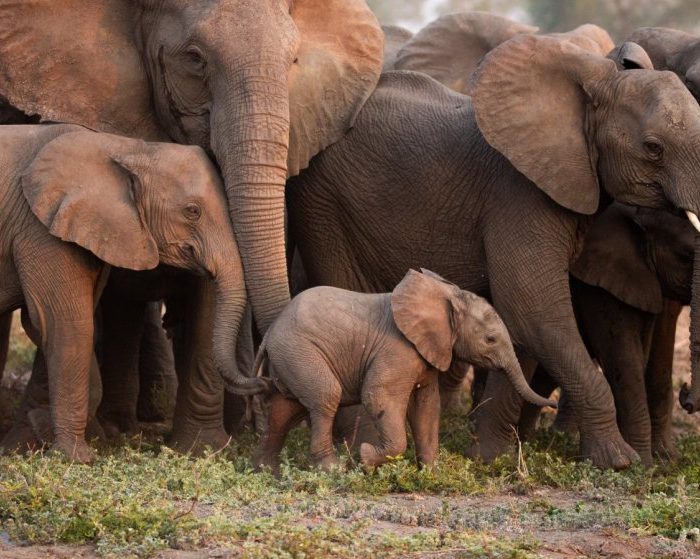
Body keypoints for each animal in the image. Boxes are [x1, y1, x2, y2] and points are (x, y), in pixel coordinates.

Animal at [0, 124, 252, 461]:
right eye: (192, 211)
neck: (126, 147)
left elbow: (61, 325)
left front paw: (45, 430)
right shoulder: (40, 230)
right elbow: (68, 325)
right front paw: (75, 457)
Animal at [253, 269, 555, 471]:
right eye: (490, 339)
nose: (552, 402)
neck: (446, 295)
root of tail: (270, 333)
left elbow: (427, 405)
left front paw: (432, 474)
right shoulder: (398, 350)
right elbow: (378, 395)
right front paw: (366, 457)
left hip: (290, 357)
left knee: (284, 408)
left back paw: (267, 472)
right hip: (299, 351)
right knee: (325, 396)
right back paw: (332, 469)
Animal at [286, 31, 700, 469]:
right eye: (653, 148)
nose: (688, 398)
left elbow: (520, 325)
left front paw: (489, 457)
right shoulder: (520, 195)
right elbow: (535, 311)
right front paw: (618, 462)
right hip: (322, 203)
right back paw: (354, 444)